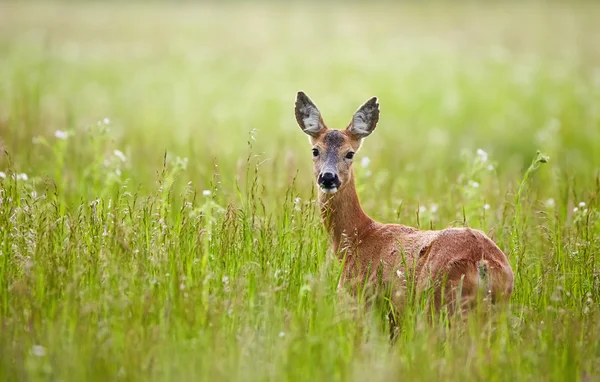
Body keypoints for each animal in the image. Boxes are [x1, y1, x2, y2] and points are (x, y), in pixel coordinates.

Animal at [292, 90, 512, 326]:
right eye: (315, 150)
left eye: (349, 153)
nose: (328, 177)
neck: (357, 238)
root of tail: (483, 263)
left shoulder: (359, 297)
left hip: (439, 303)